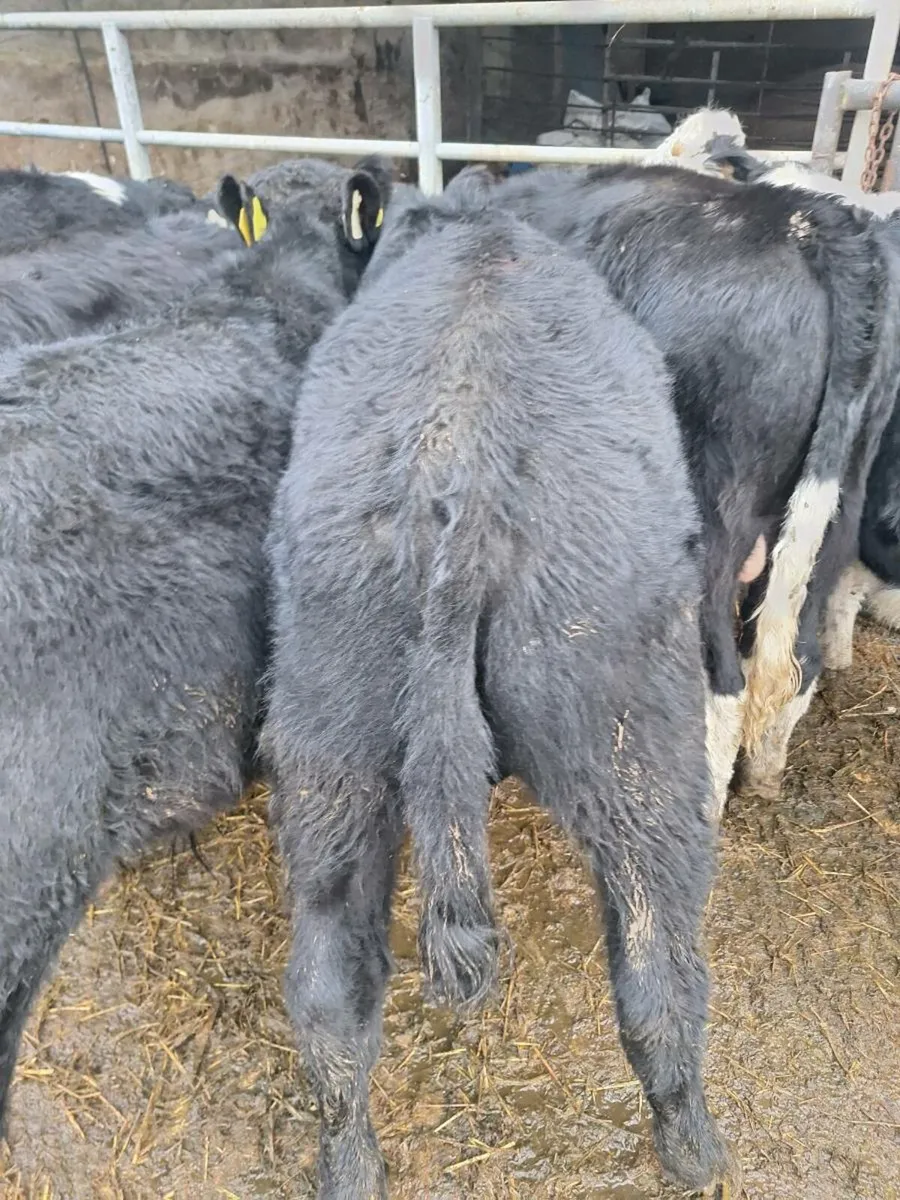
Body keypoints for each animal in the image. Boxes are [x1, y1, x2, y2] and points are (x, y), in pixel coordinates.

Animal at [262, 175, 738, 1200]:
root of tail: (464, 484)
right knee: (660, 979)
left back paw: (350, 1166)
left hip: (329, 753)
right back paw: (695, 1151)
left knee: (327, 997)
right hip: (637, 756)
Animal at [476, 156, 900, 808]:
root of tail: (801, 216)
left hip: (709, 518)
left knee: (719, 677)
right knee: (792, 656)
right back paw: (764, 774)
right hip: (835, 504)